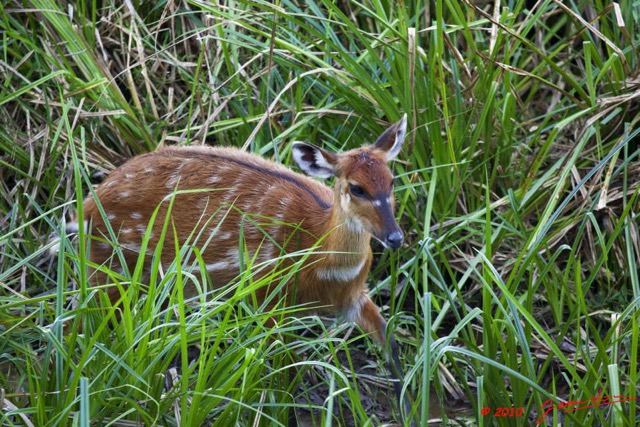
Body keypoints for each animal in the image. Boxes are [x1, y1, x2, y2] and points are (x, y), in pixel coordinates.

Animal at [81, 114, 410, 418]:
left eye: (392, 181)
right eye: (357, 188)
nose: (395, 237)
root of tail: (85, 205)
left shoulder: (354, 296)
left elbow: (390, 341)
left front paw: (408, 409)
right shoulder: (267, 298)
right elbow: (282, 372)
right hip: (111, 268)